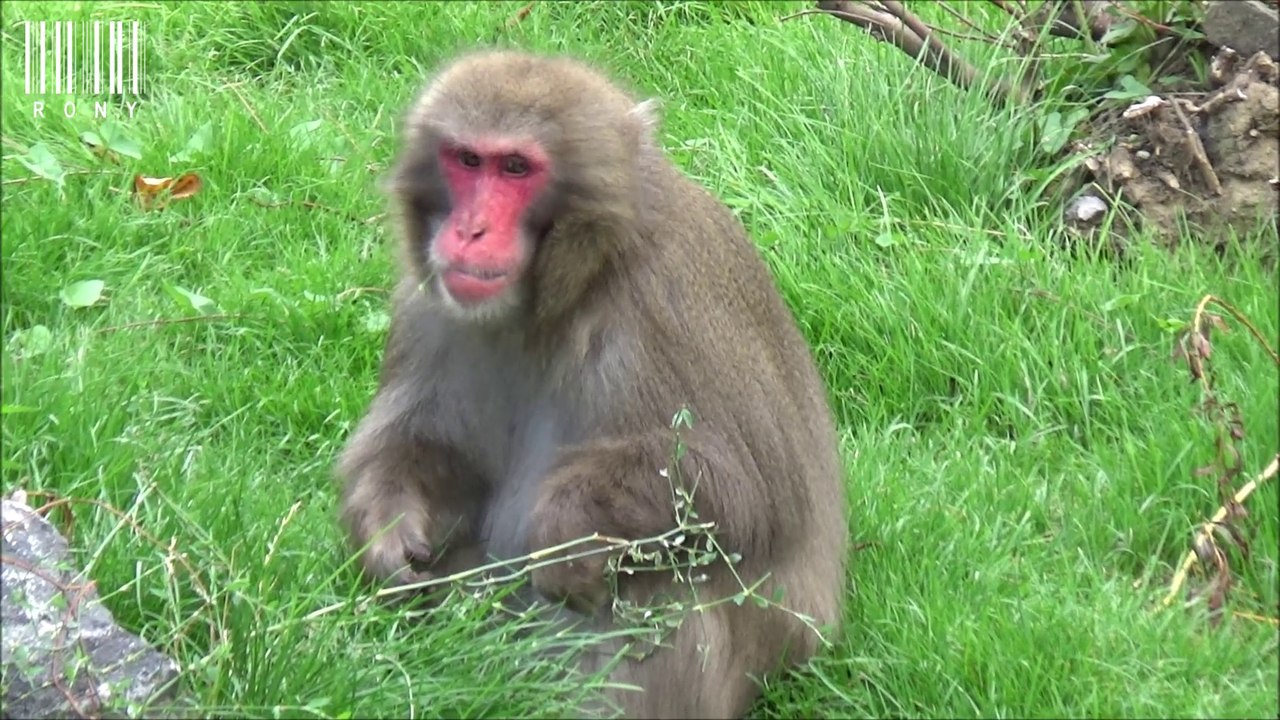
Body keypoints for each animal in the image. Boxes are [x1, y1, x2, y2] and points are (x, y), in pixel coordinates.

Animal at [336, 49, 849, 719]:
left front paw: (565, 527)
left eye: (516, 167)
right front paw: (387, 528)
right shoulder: (428, 311)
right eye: (468, 160)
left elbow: (753, 488)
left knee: (670, 584)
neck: (557, 298)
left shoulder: (670, 295)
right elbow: (421, 448)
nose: (470, 231)